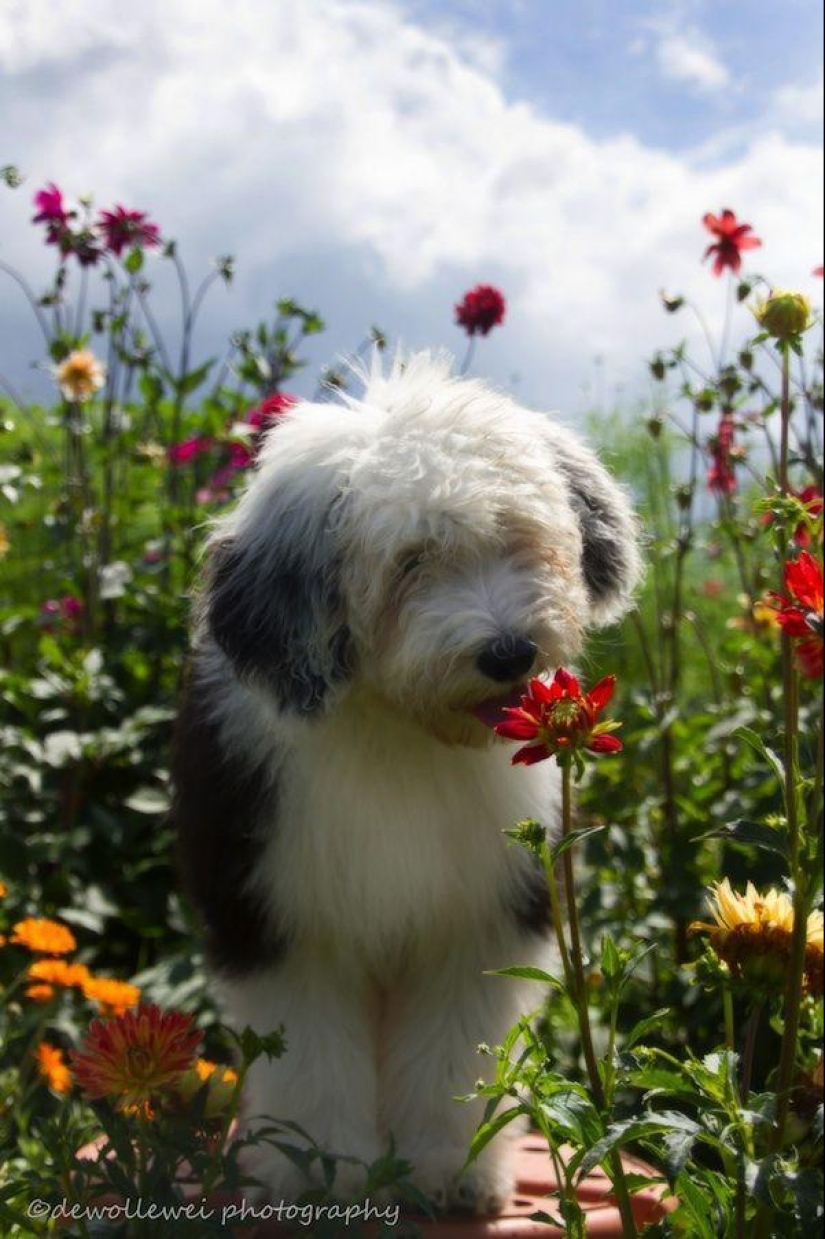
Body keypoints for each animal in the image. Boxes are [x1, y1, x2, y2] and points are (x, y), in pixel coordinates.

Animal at [172, 354, 634, 1214]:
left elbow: (451, 1054)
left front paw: (451, 1171)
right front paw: (318, 1171)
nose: (507, 651)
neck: (401, 733)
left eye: (517, 538)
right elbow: (312, 1057)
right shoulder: (285, 914)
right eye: (410, 561)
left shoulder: (477, 918)